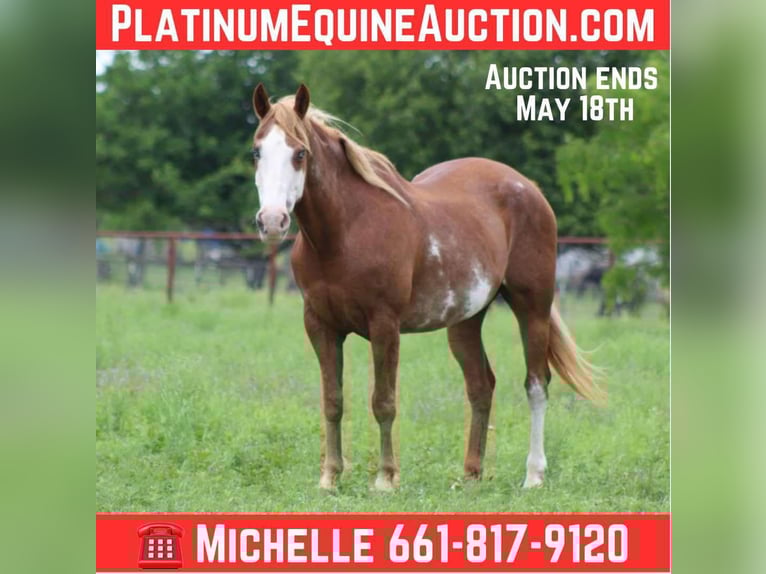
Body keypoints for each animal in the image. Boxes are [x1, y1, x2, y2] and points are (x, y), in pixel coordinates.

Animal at [250, 84, 605, 491]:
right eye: (256, 152)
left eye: (300, 153)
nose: (272, 221)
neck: (345, 232)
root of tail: (528, 188)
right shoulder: (320, 326)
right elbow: (333, 401)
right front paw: (330, 477)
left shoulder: (384, 325)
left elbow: (383, 401)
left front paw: (385, 479)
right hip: (465, 321)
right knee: (481, 385)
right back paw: (471, 474)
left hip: (532, 307)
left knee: (536, 384)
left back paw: (533, 475)